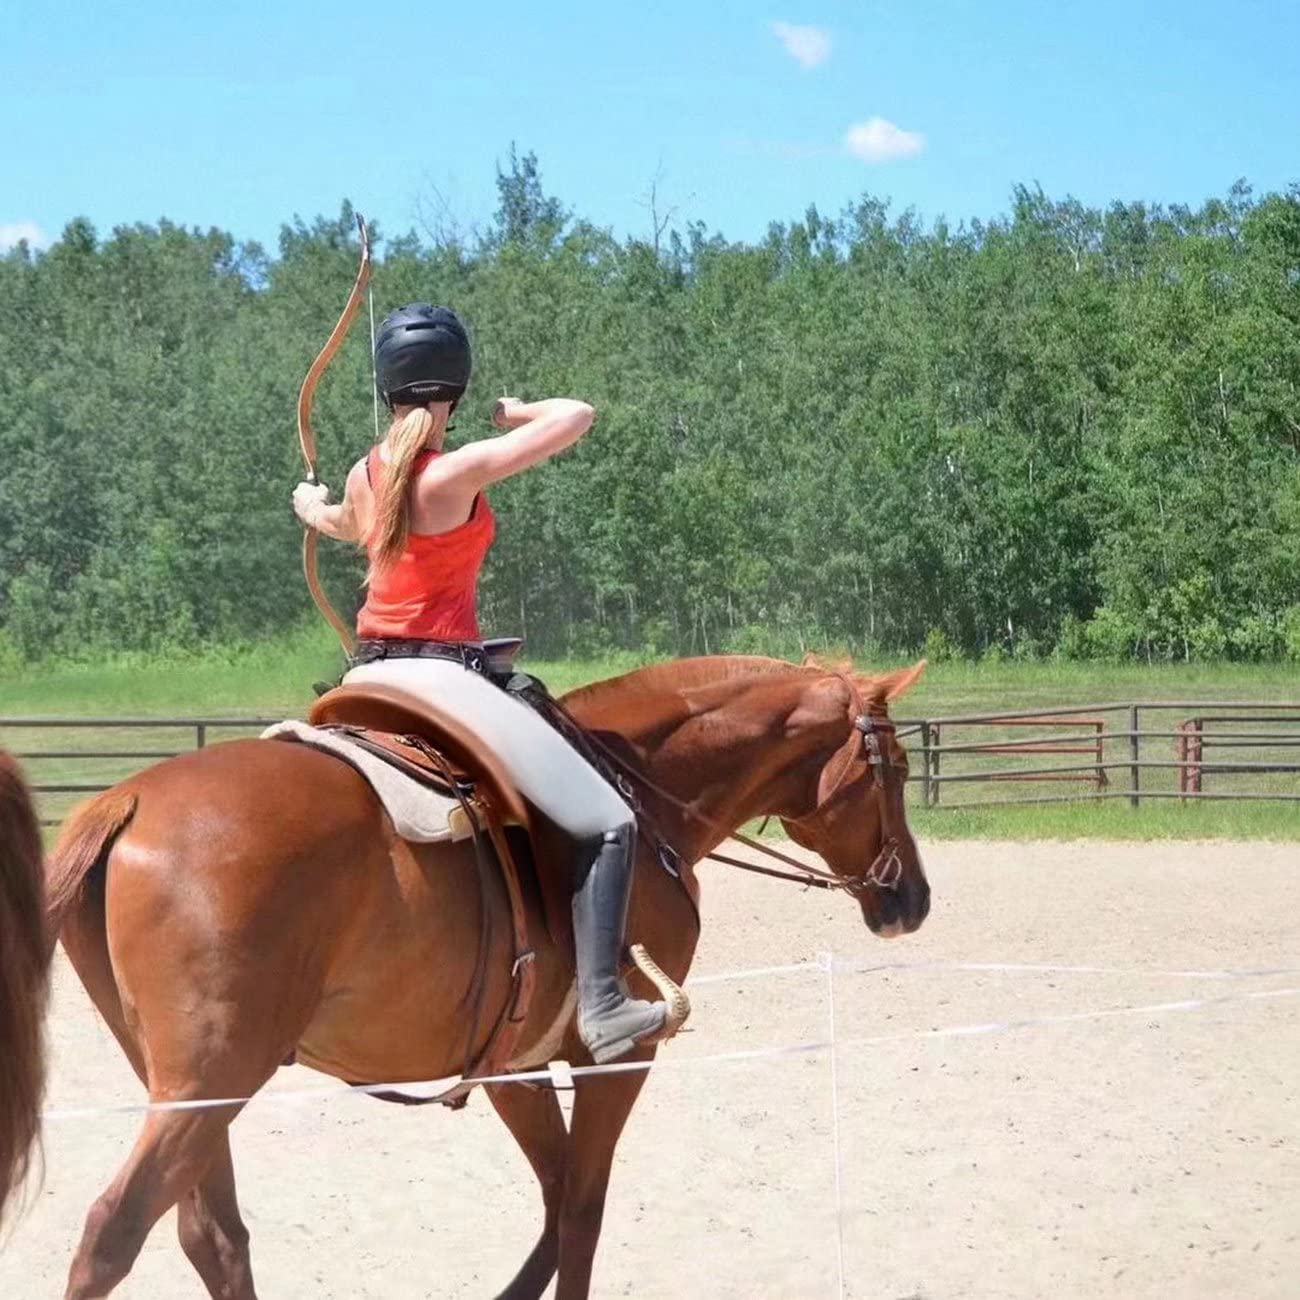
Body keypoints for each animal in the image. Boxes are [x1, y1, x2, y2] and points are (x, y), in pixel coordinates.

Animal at [45, 654, 931, 1299]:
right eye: (893, 766)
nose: (913, 898)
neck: (641, 798)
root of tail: (126, 802)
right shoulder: (615, 1061)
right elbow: (580, 1213)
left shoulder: (515, 1065)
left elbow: (555, 1204)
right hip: (213, 1077)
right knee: (114, 1230)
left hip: (189, 1087)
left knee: (212, 1237)